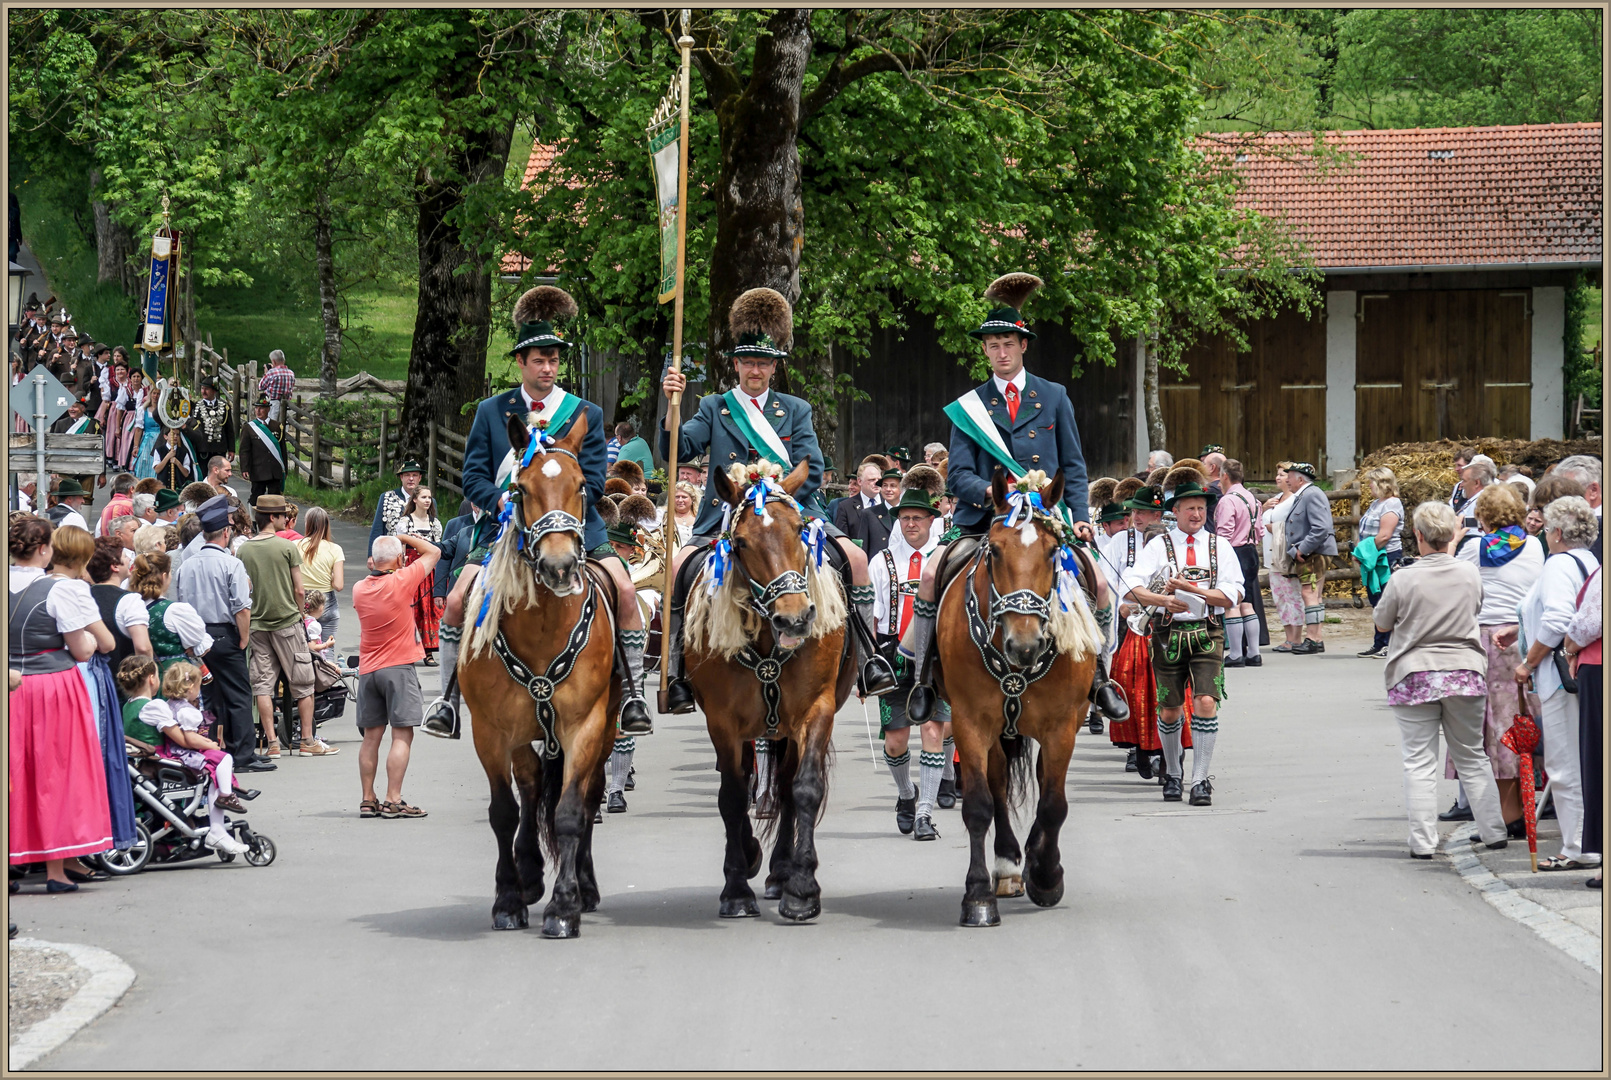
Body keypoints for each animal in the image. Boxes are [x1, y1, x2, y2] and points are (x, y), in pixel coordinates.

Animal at [467, 415, 621, 941]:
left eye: (581, 487)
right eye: (519, 489)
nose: (558, 567)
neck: (543, 629)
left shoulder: (584, 726)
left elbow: (571, 812)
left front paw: (565, 906)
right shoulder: (491, 732)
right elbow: (502, 811)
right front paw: (508, 898)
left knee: (587, 797)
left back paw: (585, 887)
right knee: (531, 782)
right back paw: (529, 873)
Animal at [679, 457, 857, 922]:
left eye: (798, 529)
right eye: (740, 543)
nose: (795, 618)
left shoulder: (816, 709)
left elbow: (805, 787)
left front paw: (802, 888)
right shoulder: (723, 721)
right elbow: (731, 794)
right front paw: (736, 887)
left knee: (789, 783)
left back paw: (781, 871)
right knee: (744, 780)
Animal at [934, 470, 1108, 928]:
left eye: (1052, 552)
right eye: (994, 551)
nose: (1024, 645)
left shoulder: (1062, 725)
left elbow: (1053, 804)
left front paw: (1046, 875)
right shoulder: (970, 722)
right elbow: (979, 805)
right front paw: (978, 896)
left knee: (1045, 780)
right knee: (997, 784)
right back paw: (1009, 863)